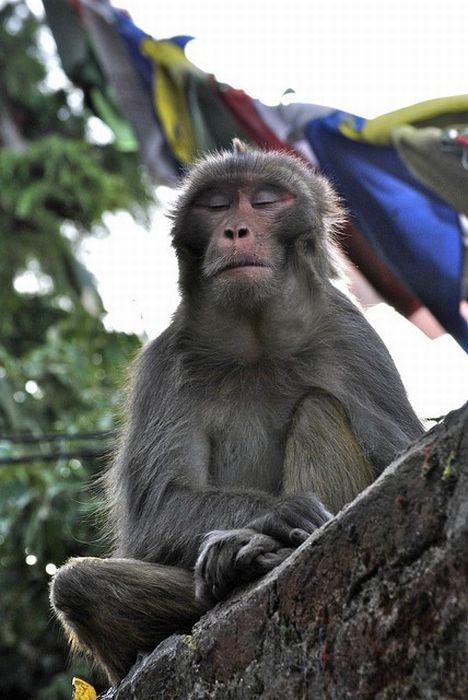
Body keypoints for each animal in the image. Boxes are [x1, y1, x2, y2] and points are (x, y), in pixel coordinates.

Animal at [51, 141, 424, 684]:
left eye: (265, 201)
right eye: (217, 205)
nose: (235, 230)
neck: (257, 341)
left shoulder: (353, 339)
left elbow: (399, 450)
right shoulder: (165, 366)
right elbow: (155, 514)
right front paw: (276, 514)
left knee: (317, 409)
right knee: (79, 587)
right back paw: (242, 563)